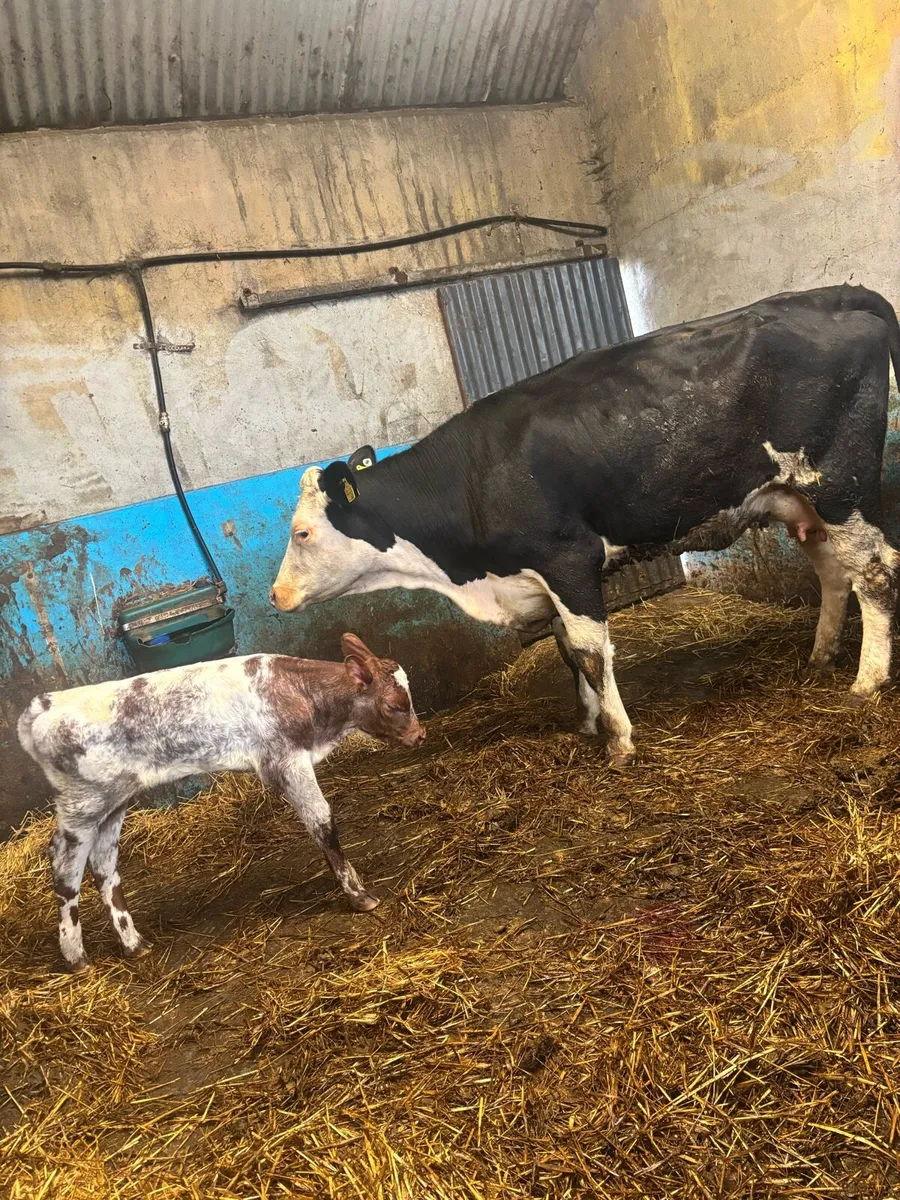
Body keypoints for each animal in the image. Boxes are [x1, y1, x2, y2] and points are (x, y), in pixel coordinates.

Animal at [18, 635, 425, 972]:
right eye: (394, 704)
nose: (419, 736)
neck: (296, 692)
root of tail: (45, 703)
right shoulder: (287, 761)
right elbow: (322, 823)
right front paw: (359, 896)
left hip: (114, 801)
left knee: (103, 864)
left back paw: (134, 944)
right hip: (83, 804)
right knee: (65, 866)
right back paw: (75, 957)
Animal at [271, 285, 900, 768]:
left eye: (302, 532)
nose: (276, 595)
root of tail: (825, 295)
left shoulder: (567, 559)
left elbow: (590, 650)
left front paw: (618, 739)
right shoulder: (539, 578)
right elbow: (566, 650)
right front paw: (589, 721)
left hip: (839, 482)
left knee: (873, 572)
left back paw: (866, 681)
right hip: (800, 499)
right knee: (835, 572)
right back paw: (820, 657)